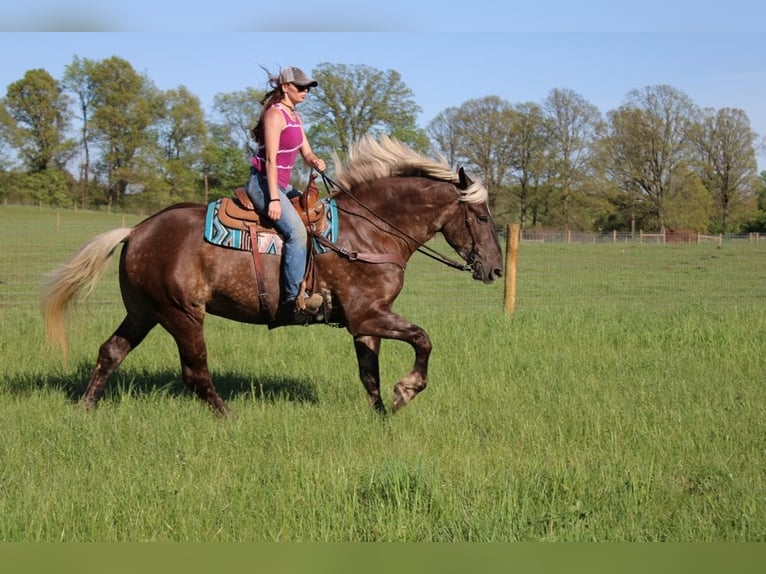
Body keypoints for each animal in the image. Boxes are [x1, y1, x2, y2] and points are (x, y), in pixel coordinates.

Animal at [45, 137, 508, 416]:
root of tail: (136, 231)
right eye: (483, 217)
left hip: (144, 311)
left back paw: (85, 410)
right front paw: (406, 390)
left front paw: (381, 415)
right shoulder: (367, 315)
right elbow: (423, 339)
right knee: (195, 372)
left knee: (111, 352)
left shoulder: (366, 321)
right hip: (182, 314)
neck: (368, 232)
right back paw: (229, 417)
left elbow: (369, 373)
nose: (496, 269)